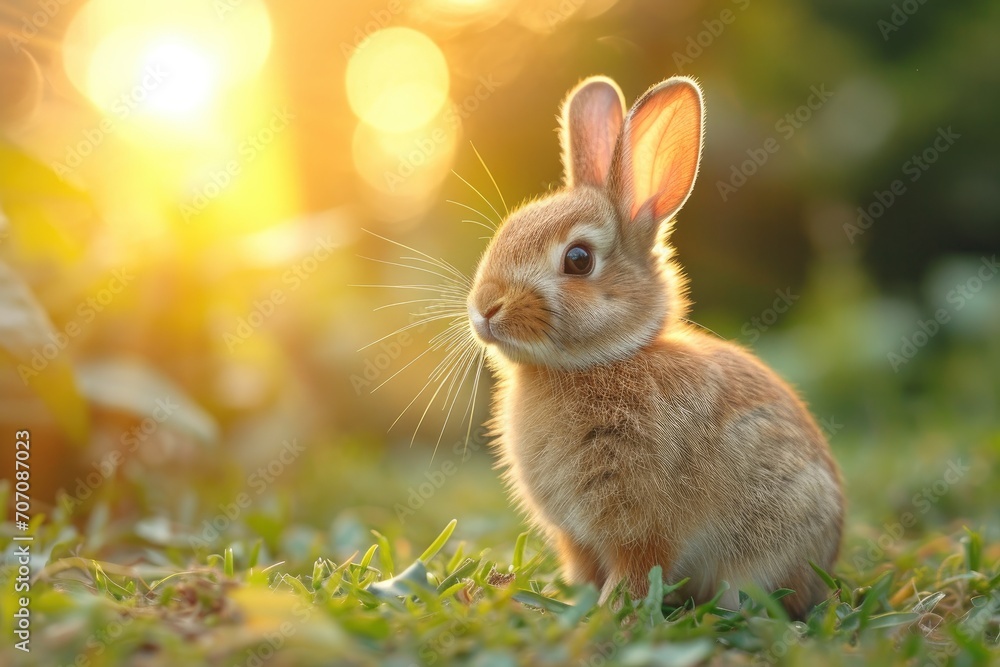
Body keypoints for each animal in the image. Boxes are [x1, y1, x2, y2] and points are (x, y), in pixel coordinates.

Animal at [464, 75, 844, 618]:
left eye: (578, 259)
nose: (485, 309)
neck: (602, 360)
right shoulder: (575, 536)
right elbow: (586, 569)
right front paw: (578, 603)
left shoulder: (643, 524)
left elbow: (639, 569)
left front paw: (611, 613)